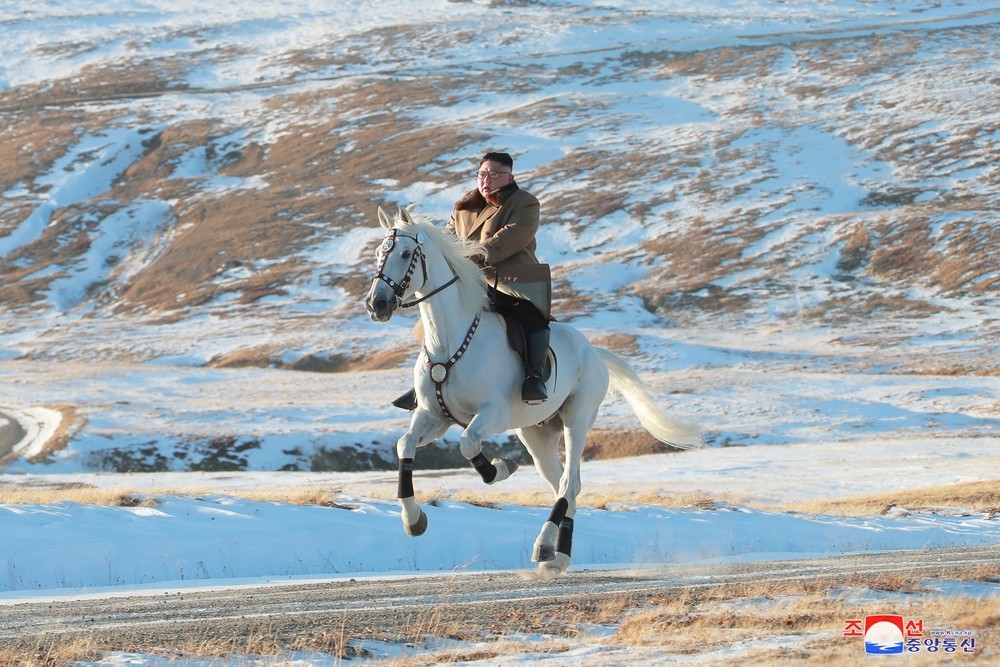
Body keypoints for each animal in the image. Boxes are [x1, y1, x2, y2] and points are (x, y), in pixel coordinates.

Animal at [364, 207, 700, 576]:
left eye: (405, 254)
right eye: (379, 253)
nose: (376, 304)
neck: (449, 341)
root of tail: (594, 350)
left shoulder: (492, 414)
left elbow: (468, 444)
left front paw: (500, 468)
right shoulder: (434, 417)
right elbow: (405, 445)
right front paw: (413, 520)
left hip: (577, 419)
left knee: (569, 483)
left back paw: (544, 546)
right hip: (536, 434)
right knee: (562, 485)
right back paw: (559, 555)